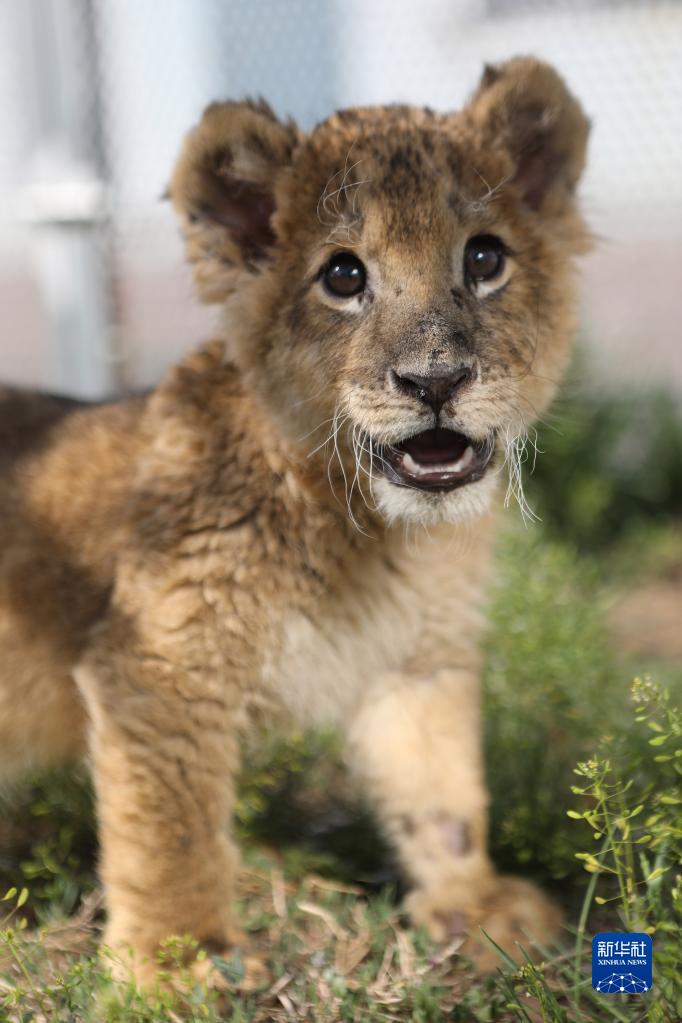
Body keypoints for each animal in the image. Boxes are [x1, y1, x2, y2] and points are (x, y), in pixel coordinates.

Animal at [0, 56, 590, 983]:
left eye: (485, 257)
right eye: (343, 277)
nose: (434, 379)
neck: (375, 534)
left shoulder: (419, 658)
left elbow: (444, 789)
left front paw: (475, 906)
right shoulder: (160, 661)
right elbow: (170, 828)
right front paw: (177, 958)